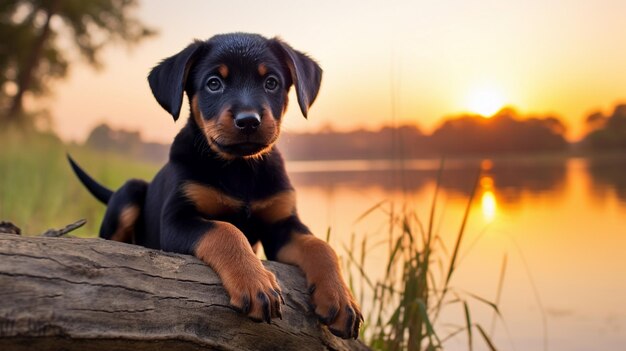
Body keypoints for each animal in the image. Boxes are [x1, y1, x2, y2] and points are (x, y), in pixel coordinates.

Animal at [68, 33, 360, 340]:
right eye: (213, 83)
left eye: (271, 82)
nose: (248, 121)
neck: (240, 168)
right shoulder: (176, 221)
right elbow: (225, 230)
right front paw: (255, 282)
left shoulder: (281, 226)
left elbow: (321, 246)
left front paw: (341, 298)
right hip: (129, 191)